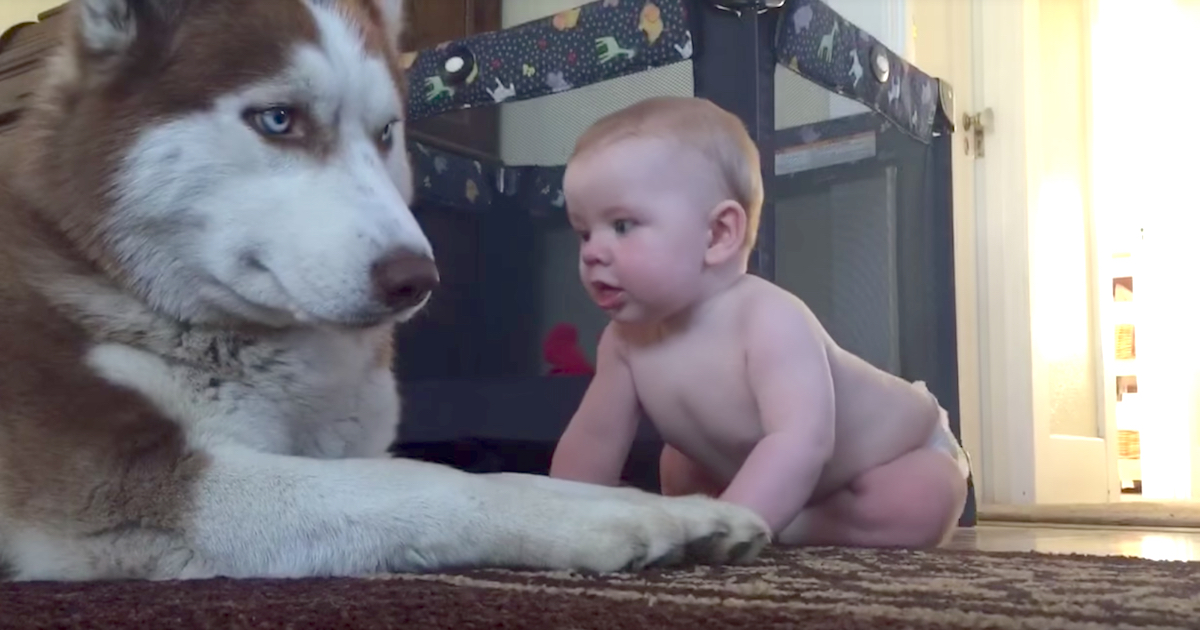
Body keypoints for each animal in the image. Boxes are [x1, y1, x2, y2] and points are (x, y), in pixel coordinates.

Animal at [0, 0, 768, 580]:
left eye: (387, 132)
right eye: (278, 119)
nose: (417, 279)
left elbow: (503, 474)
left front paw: (678, 506)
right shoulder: (119, 487)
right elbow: (431, 482)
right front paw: (616, 517)